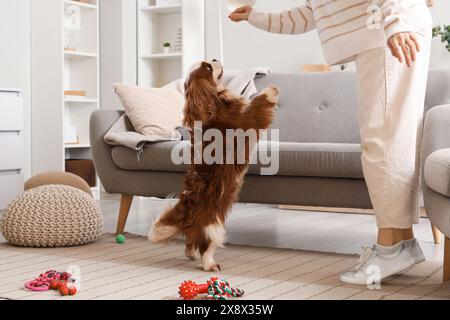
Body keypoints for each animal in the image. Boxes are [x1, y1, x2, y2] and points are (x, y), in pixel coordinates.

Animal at [149, 59, 280, 270]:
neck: (215, 103)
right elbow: (259, 102)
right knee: (205, 246)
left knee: (189, 242)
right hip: (212, 227)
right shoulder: (248, 119)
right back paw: (209, 264)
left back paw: (191, 254)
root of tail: (186, 212)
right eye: (208, 68)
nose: (214, 59)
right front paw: (272, 88)